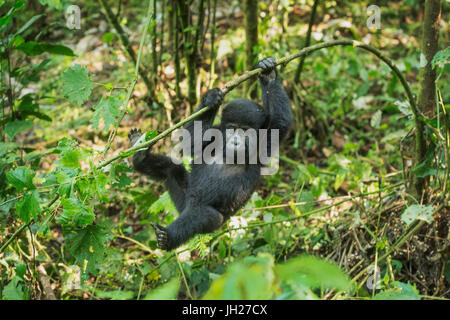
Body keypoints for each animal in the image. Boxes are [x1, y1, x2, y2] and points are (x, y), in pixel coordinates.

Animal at [128, 57, 294, 250]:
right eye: (232, 129)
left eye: (245, 131)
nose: (235, 141)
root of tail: (185, 208)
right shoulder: (215, 132)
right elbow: (191, 143)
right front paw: (211, 99)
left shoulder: (265, 139)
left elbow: (281, 122)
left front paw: (270, 77)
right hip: (183, 199)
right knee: (172, 169)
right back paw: (140, 156)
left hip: (214, 222)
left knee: (203, 215)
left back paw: (167, 237)